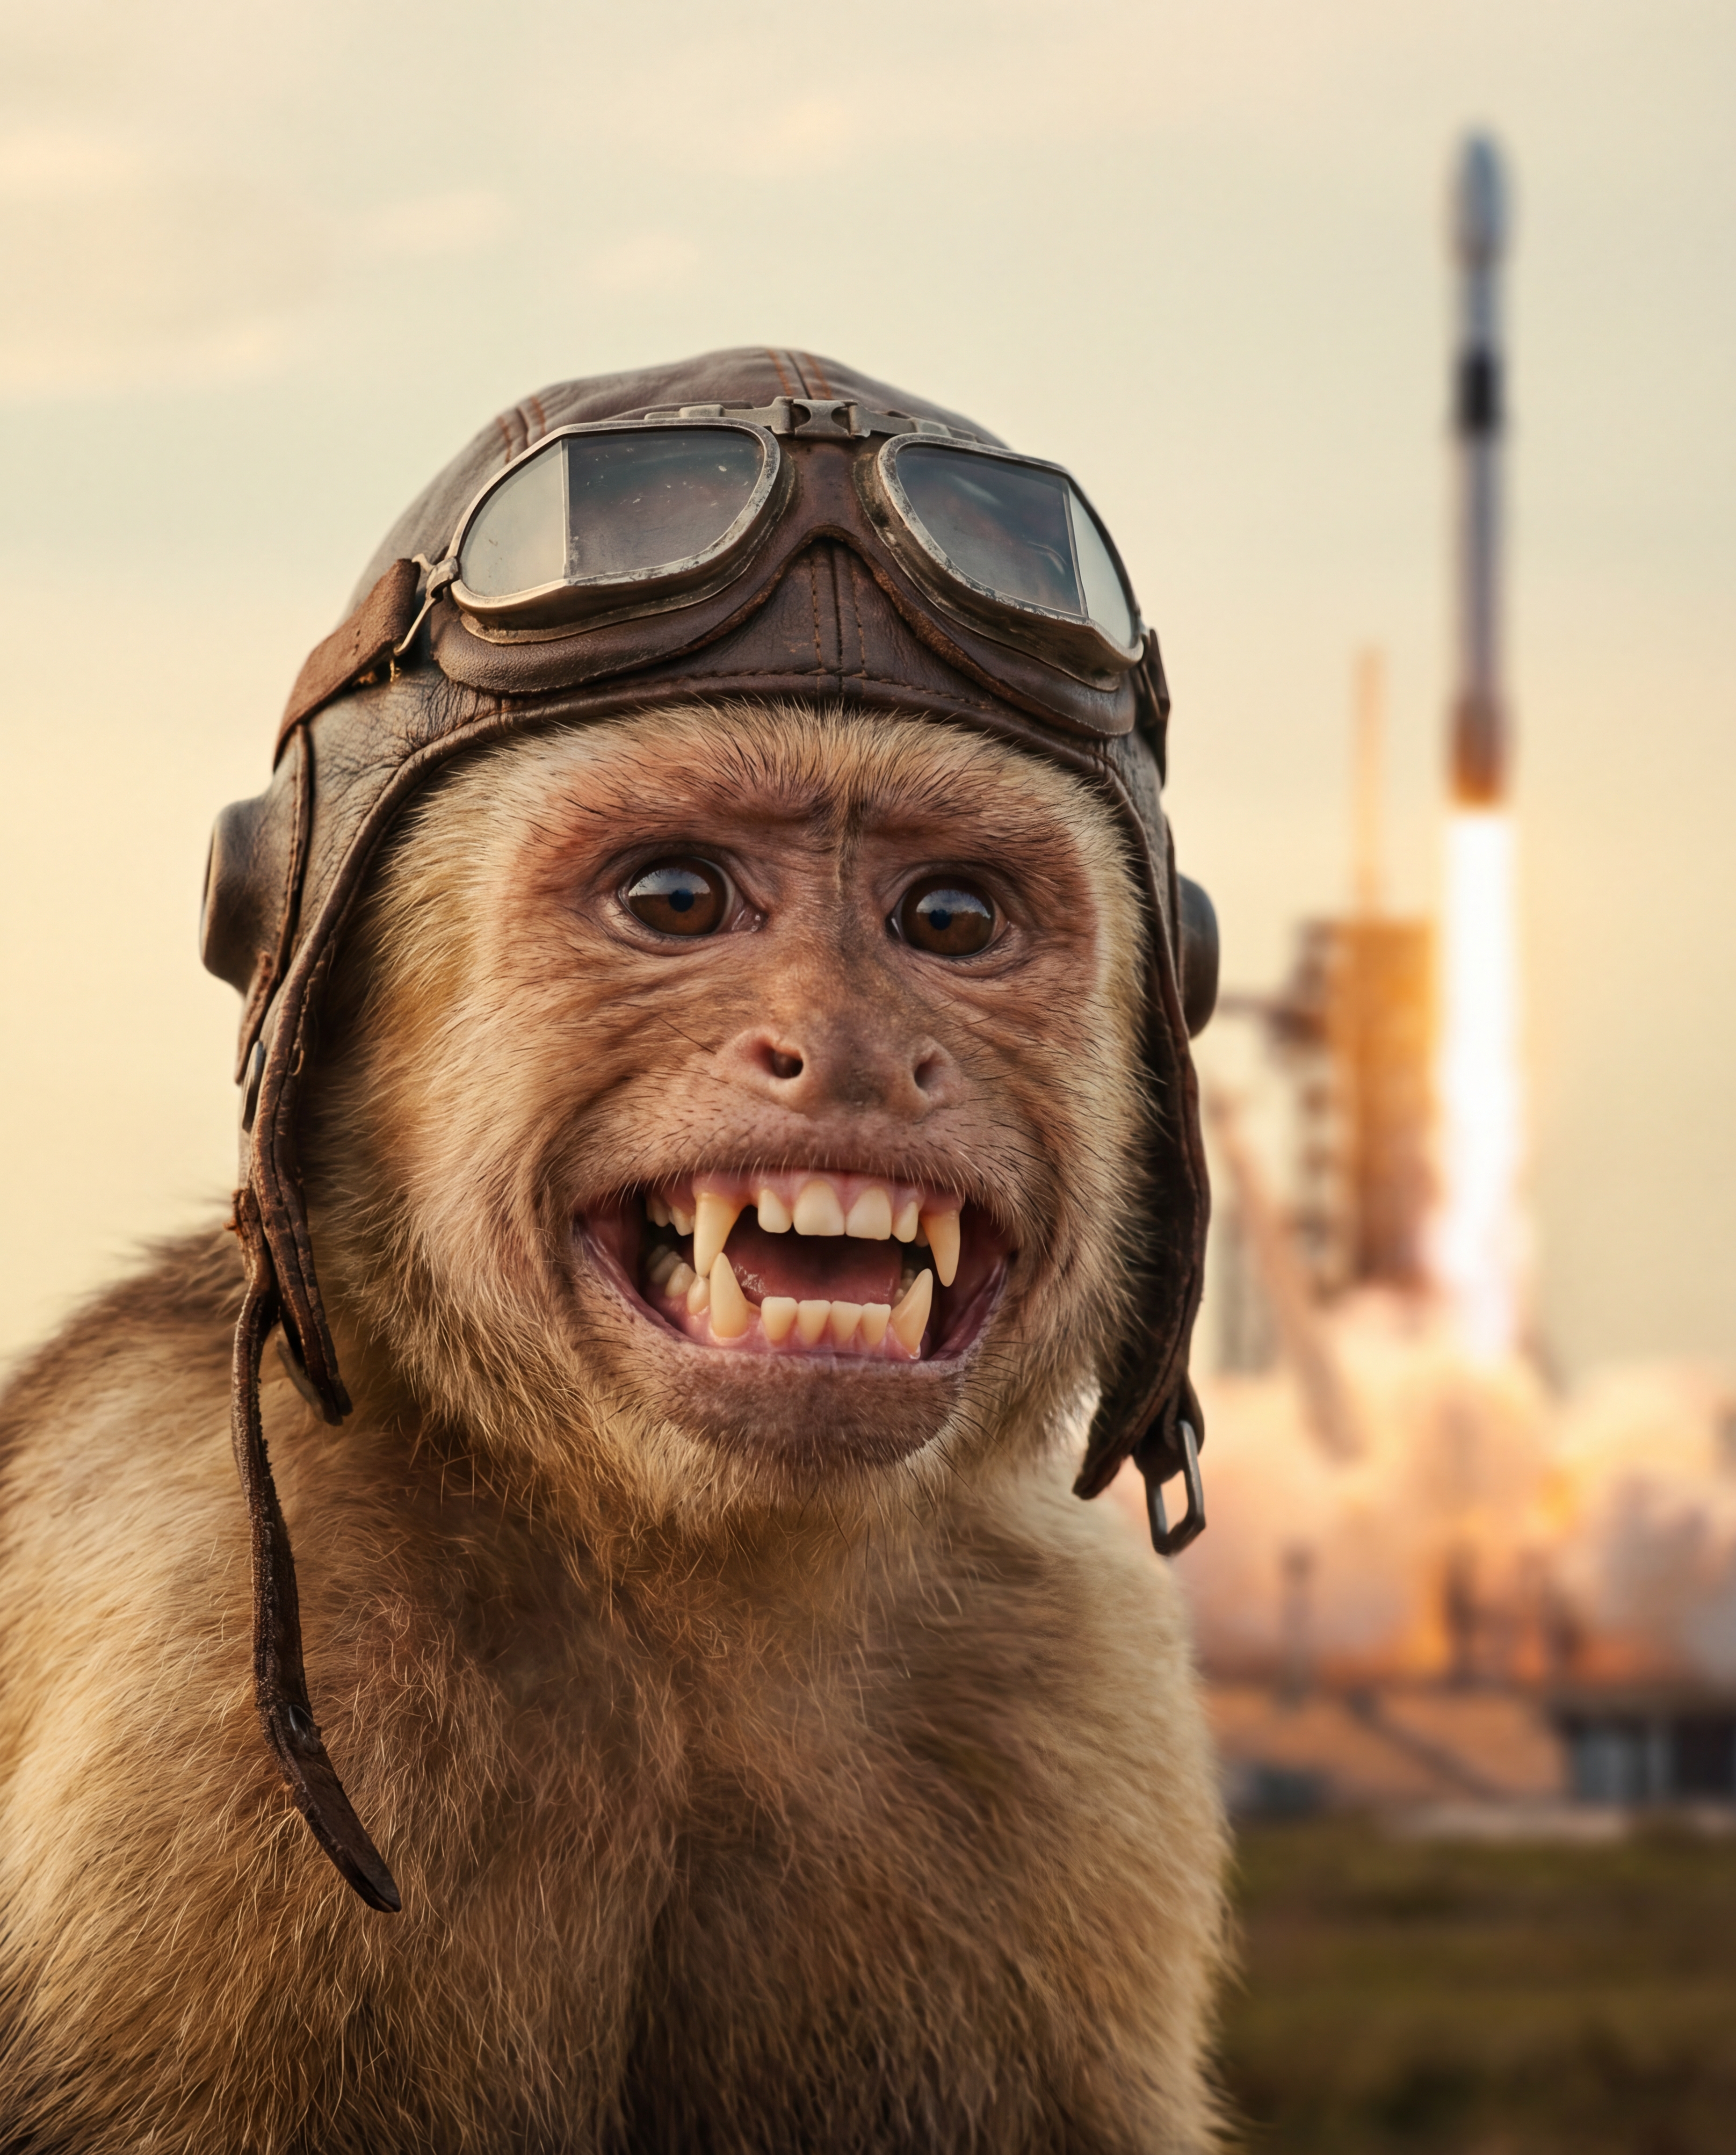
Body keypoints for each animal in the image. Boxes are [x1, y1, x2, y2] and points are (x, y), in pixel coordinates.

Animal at [0, 354, 1226, 2153]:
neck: (655, 1546)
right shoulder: (204, 1632)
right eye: (676, 899)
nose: (852, 1052)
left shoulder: (1078, 1693)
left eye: (949, 921)